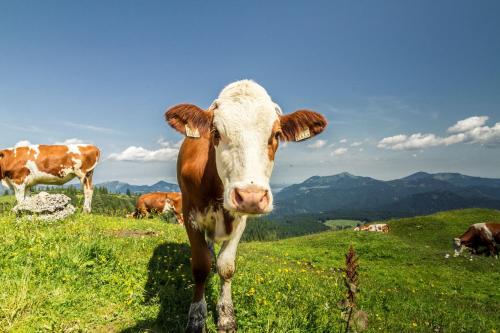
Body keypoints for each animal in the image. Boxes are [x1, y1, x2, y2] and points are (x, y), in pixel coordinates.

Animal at [165, 80, 328, 332]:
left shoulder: (240, 221)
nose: (251, 196)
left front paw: (226, 316)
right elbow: (201, 266)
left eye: (276, 134)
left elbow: (226, 266)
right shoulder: (190, 213)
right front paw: (196, 317)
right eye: (215, 132)